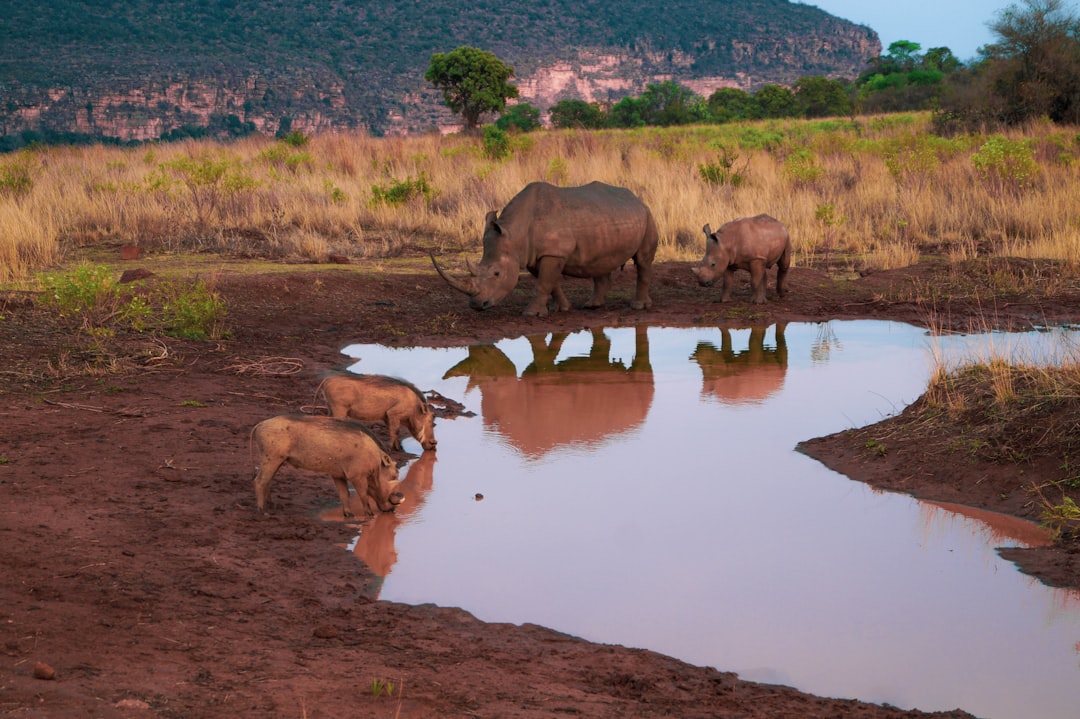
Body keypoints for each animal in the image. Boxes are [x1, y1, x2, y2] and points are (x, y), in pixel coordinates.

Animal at [250, 412, 403, 518]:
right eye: (393, 475)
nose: (392, 510)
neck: (375, 460)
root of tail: (259, 425)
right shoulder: (357, 477)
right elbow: (363, 495)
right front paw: (370, 515)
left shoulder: (338, 475)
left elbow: (344, 494)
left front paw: (348, 515)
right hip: (271, 459)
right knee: (259, 481)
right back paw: (262, 511)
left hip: (276, 461)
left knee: (267, 481)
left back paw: (271, 505)